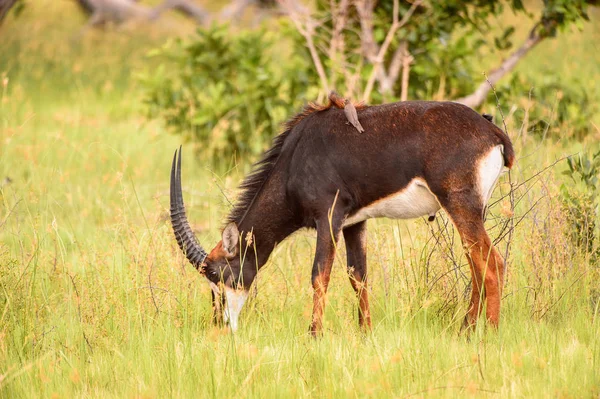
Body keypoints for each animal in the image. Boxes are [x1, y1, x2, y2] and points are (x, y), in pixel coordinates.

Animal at [170, 99, 516, 334]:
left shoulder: (329, 217)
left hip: (460, 204)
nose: (221, 325)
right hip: (469, 210)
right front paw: (366, 333)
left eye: (217, 274)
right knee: (477, 263)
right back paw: (465, 332)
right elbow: (358, 276)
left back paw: (487, 335)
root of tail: (493, 132)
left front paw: (314, 335)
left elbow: (319, 274)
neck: (296, 155)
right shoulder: (355, 222)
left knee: (491, 262)